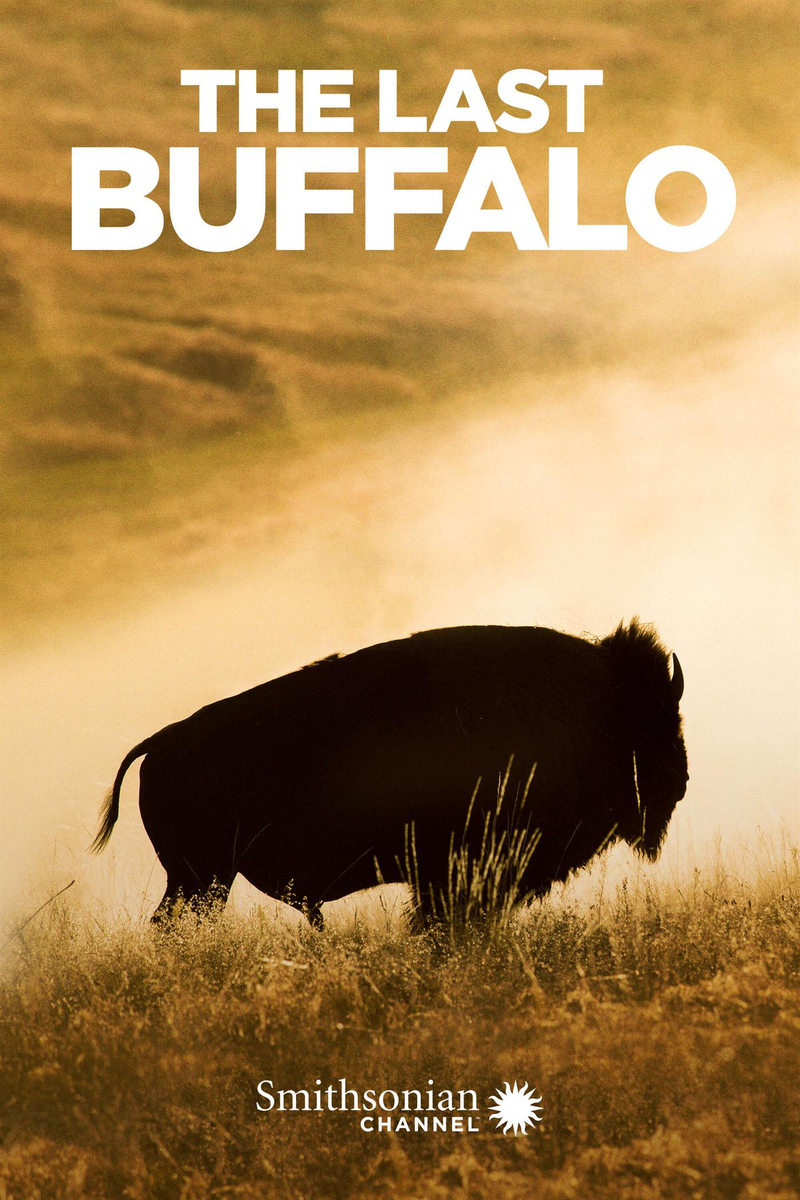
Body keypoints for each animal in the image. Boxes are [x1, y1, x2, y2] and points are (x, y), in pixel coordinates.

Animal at [92, 619, 688, 926]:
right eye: (657, 718)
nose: (680, 780)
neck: (602, 704)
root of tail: (162, 742)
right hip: (201, 880)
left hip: (198, 880)